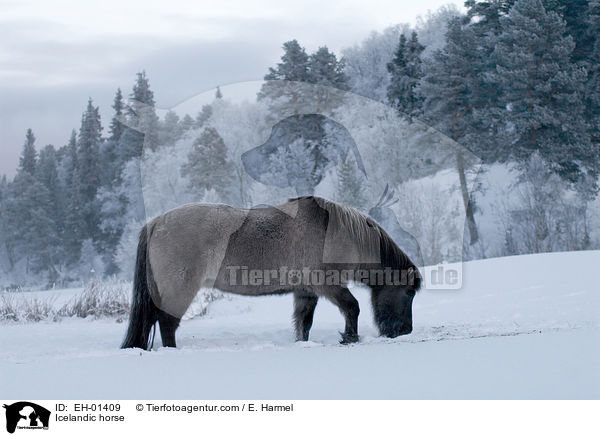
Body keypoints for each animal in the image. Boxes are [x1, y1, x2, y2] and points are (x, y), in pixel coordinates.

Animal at [122, 196, 422, 350]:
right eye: (409, 293)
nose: (404, 331)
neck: (336, 232)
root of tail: (155, 223)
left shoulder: (306, 291)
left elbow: (304, 323)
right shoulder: (328, 285)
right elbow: (352, 307)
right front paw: (349, 338)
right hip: (180, 290)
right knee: (167, 323)